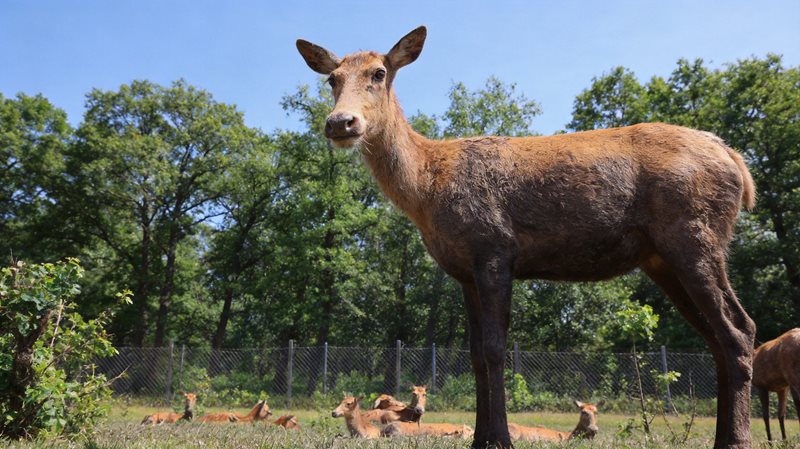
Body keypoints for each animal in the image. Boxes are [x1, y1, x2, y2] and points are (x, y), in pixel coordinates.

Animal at [296, 25, 757, 449]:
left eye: (378, 73)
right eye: (332, 78)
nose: (341, 122)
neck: (428, 190)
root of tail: (736, 161)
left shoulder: (495, 249)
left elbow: (496, 349)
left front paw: (500, 438)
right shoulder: (464, 271)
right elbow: (475, 355)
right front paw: (481, 438)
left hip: (694, 235)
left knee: (740, 328)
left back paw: (736, 439)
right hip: (662, 258)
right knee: (718, 338)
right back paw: (723, 436)